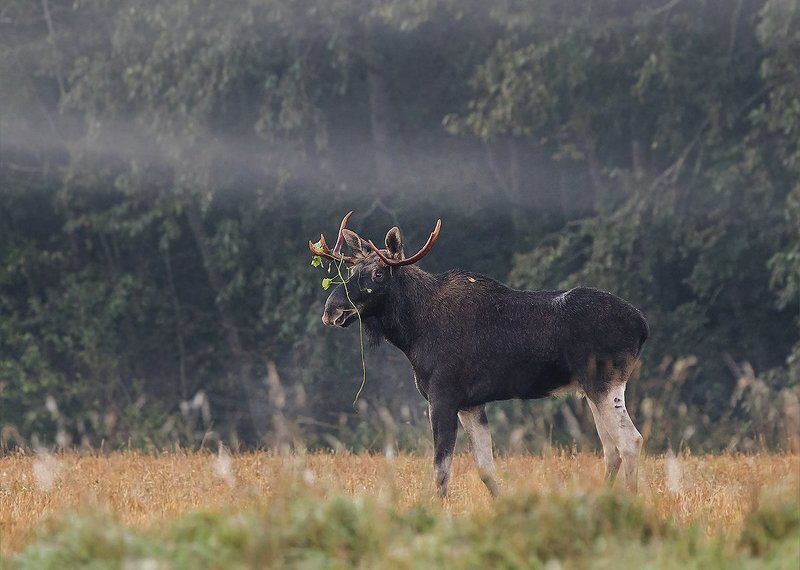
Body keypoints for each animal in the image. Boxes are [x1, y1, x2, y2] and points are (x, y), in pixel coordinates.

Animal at [309, 212, 649, 497]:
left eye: (379, 274)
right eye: (352, 269)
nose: (331, 310)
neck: (413, 331)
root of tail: (643, 325)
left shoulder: (443, 396)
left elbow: (441, 470)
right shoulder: (472, 404)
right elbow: (486, 469)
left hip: (604, 383)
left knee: (630, 441)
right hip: (591, 390)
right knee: (611, 449)